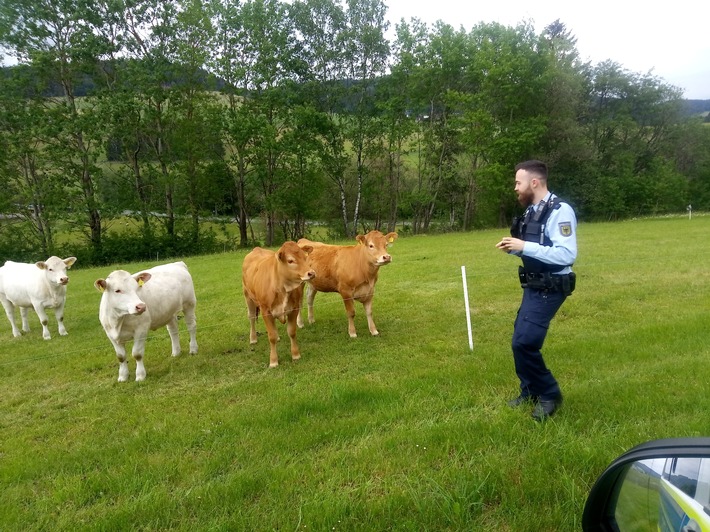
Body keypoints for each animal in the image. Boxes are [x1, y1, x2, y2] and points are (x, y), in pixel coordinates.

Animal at [242, 242, 314, 370]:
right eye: (290, 260)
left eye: (305, 257)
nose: (311, 273)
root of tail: (256, 249)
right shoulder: (266, 311)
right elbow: (271, 336)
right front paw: (273, 361)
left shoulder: (294, 309)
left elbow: (292, 332)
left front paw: (295, 355)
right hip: (248, 297)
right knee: (251, 318)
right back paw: (253, 338)